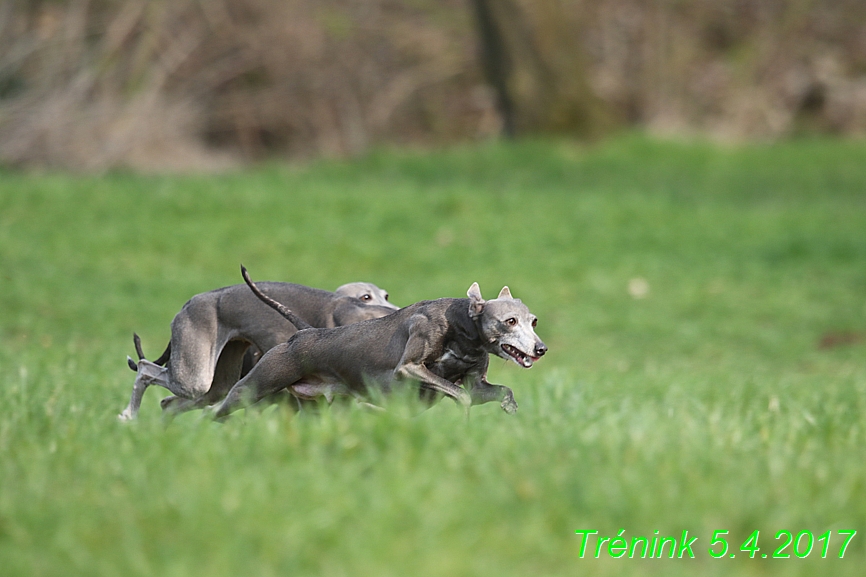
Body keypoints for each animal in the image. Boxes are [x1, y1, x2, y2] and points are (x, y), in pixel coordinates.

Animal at [118, 274, 394, 418]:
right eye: (366, 296)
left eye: (386, 295)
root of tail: (192, 302)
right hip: (196, 377)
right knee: (145, 368)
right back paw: (128, 416)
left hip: (220, 381)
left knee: (170, 404)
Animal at [212, 274, 544, 418]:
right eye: (510, 321)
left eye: (534, 321)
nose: (541, 349)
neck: (462, 326)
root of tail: (302, 335)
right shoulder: (410, 367)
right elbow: (457, 394)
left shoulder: (477, 384)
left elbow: (493, 391)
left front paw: (509, 406)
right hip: (253, 388)